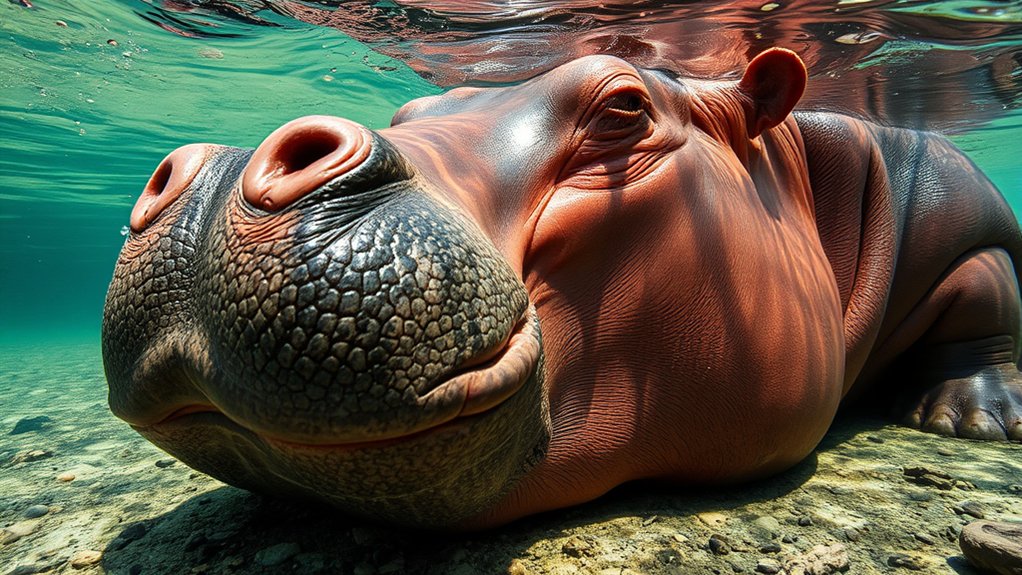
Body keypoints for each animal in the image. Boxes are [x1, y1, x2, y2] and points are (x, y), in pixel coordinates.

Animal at [102, 48, 1022, 529]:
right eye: (410, 110)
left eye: (624, 107)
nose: (220, 170)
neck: (786, 163)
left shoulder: (968, 229)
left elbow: (984, 299)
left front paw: (975, 425)